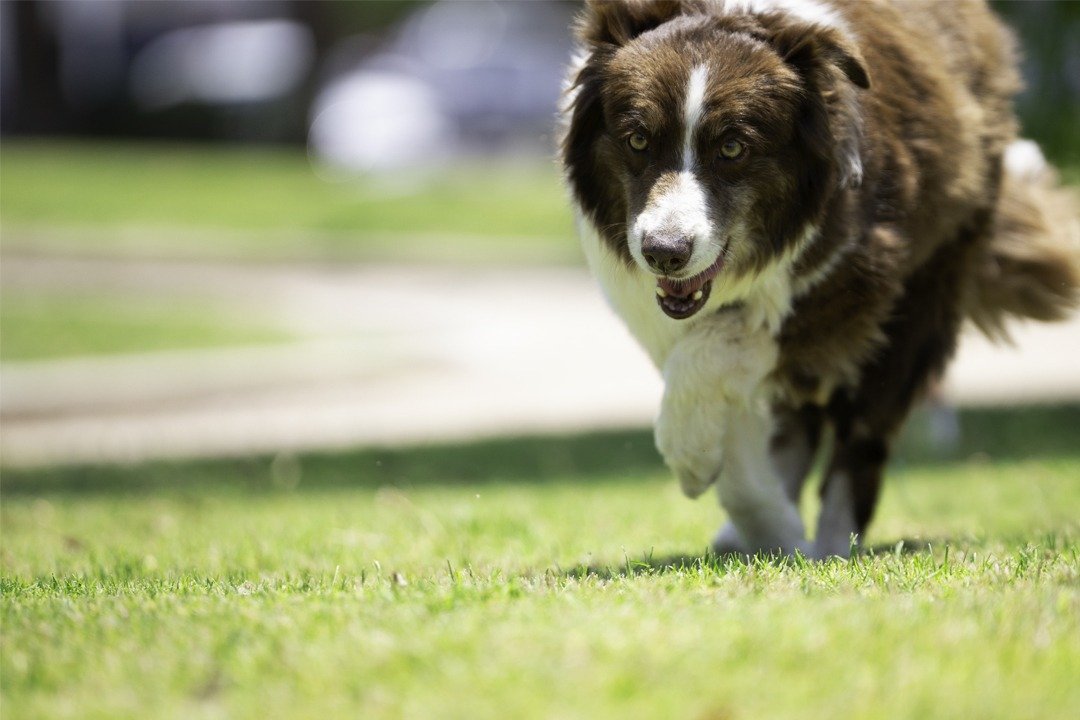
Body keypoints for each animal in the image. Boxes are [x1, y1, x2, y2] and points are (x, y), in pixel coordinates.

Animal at [559, 0, 1079, 558]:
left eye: (733, 148)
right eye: (637, 140)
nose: (664, 253)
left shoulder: (865, 277)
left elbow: (720, 349)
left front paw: (692, 457)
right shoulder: (657, 313)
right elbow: (724, 409)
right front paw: (769, 523)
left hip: (925, 291)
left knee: (862, 437)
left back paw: (834, 542)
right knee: (798, 425)